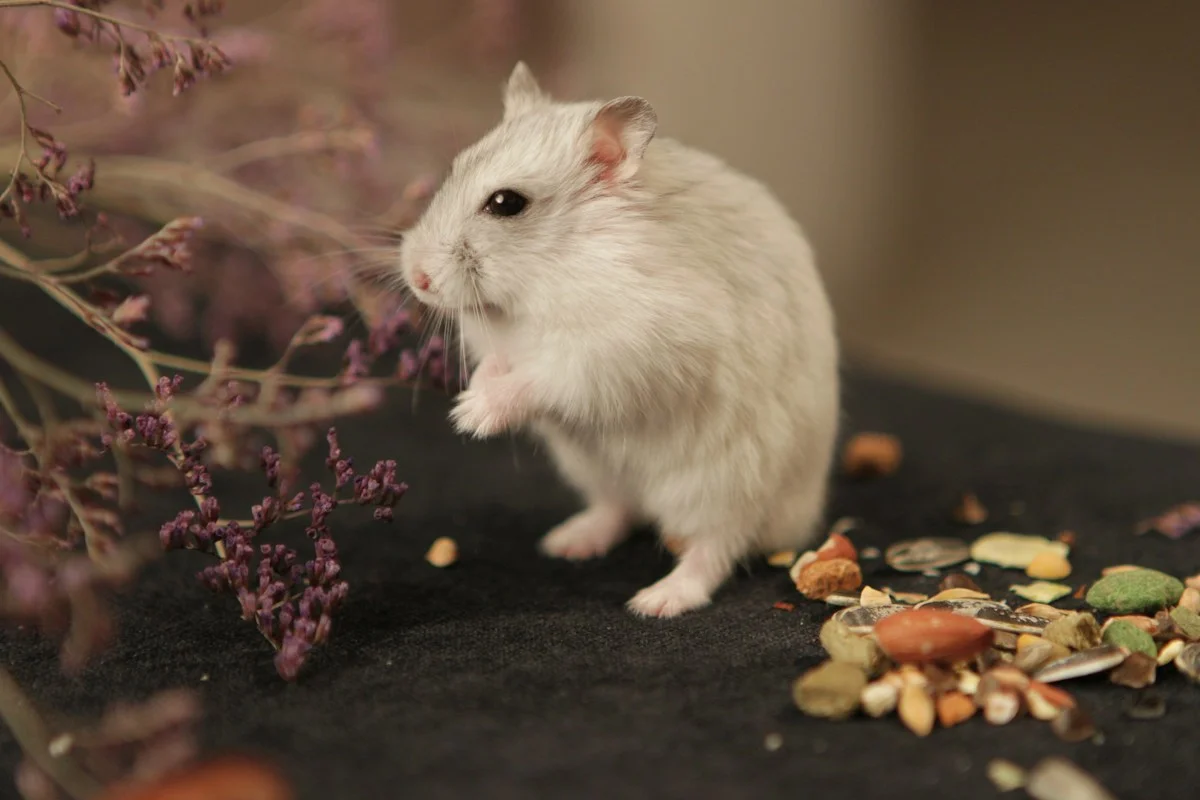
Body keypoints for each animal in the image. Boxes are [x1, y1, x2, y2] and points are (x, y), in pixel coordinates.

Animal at [396, 62, 840, 618]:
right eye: (453, 169)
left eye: (506, 203)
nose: (416, 277)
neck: (541, 275)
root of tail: (798, 519)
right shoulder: (504, 345)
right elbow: (497, 367)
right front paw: (469, 400)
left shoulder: (620, 351)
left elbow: (540, 379)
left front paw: (470, 417)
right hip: (597, 471)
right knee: (620, 510)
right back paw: (566, 543)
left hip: (725, 487)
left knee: (715, 549)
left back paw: (656, 601)